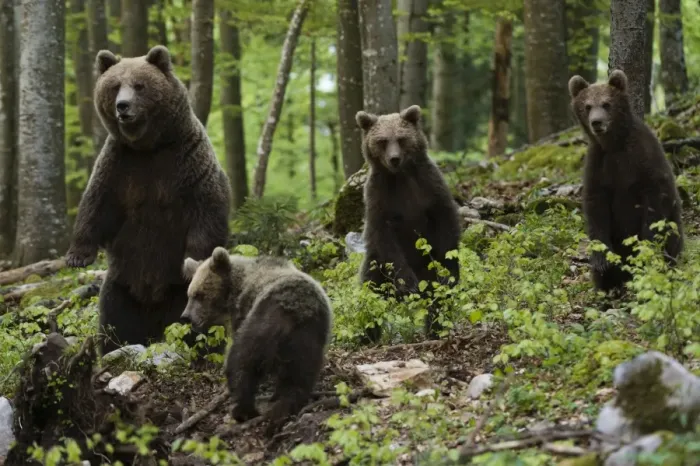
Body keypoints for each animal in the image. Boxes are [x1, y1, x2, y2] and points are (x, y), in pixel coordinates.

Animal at [65, 45, 232, 355]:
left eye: (139, 85)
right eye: (115, 86)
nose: (123, 106)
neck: (148, 147)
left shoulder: (187, 164)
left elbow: (206, 210)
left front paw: (193, 258)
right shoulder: (119, 167)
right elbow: (96, 206)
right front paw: (77, 256)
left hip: (181, 295)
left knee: (199, 321)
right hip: (121, 285)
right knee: (114, 320)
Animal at [180, 247, 332, 435]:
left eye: (199, 295)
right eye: (189, 294)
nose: (186, 317)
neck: (235, 289)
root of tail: (294, 311)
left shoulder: (243, 311)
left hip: (262, 321)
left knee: (242, 359)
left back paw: (243, 410)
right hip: (308, 336)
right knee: (300, 373)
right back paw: (286, 402)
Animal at [355, 104, 461, 341]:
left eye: (401, 138)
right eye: (382, 141)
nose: (394, 159)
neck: (400, 176)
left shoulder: (429, 186)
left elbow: (446, 222)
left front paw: (446, 272)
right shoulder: (379, 196)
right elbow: (382, 233)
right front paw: (407, 283)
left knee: (438, 299)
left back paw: (435, 329)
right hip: (376, 266)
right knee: (369, 294)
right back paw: (367, 335)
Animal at [568, 69, 684, 293]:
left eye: (606, 103)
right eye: (587, 106)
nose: (597, 122)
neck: (614, 144)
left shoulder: (643, 159)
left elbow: (655, 200)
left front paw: (645, 245)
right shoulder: (599, 166)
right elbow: (596, 208)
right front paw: (602, 260)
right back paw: (607, 285)